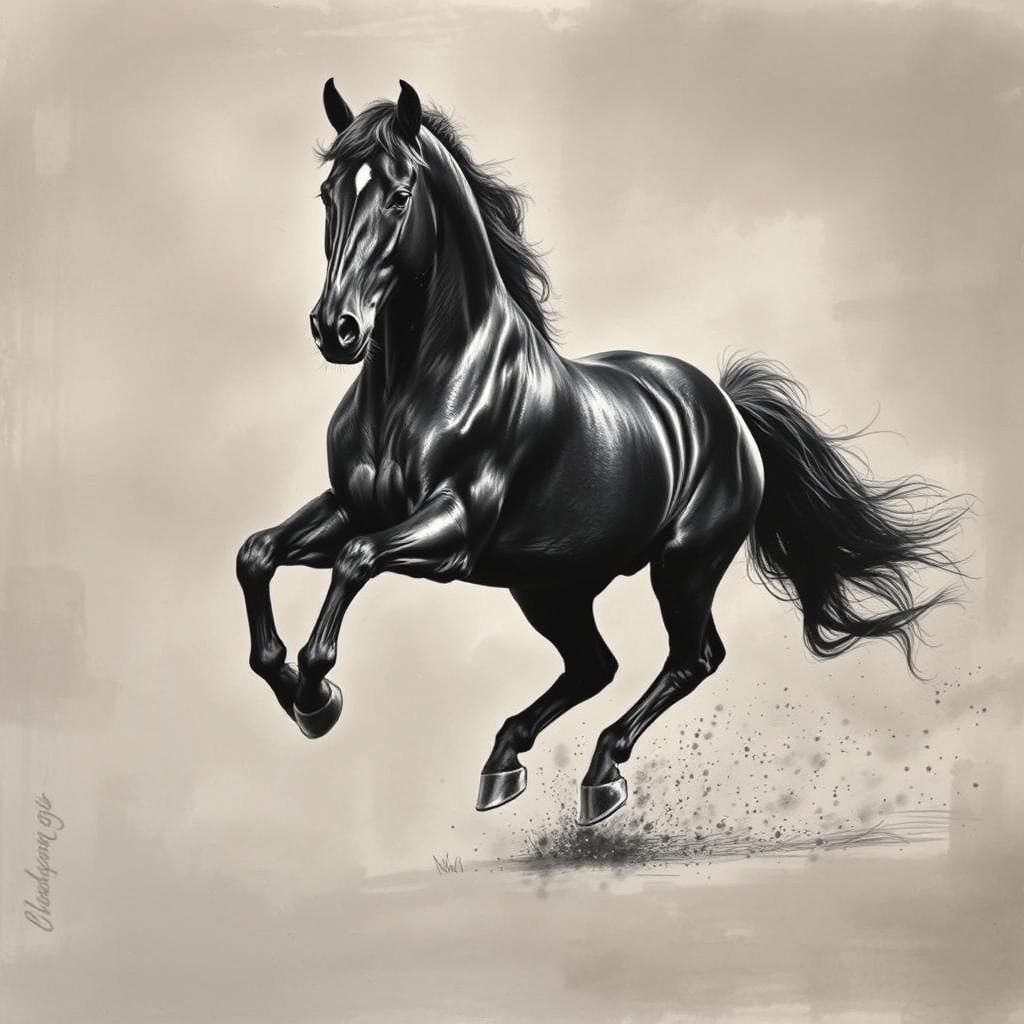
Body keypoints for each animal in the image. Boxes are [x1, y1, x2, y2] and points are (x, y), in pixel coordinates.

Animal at [236, 80, 967, 826]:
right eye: (328, 191)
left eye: (400, 193)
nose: (336, 329)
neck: (421, 384)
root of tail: (728, 407)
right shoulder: (352, 507)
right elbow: (257, 553)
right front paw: (295, 686)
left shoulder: (452, 532)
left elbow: (353, 564)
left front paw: (317, 696)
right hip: (549, 585)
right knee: (595, 665)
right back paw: (504, 765)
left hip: (682, 567)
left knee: (692, 658)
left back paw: (600, 776)